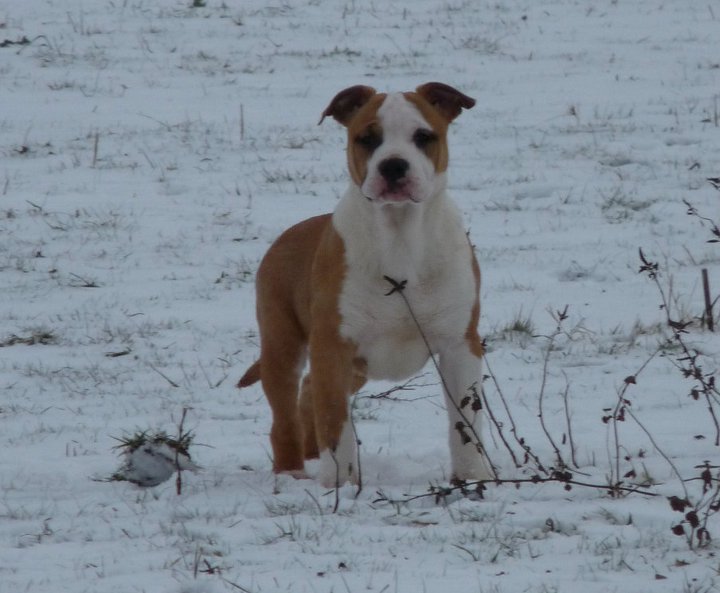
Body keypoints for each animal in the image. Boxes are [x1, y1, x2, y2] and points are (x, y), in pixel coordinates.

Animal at [239, 81, 492, 486]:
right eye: (367, 138)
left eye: (424, 136)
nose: (393, 165)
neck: (400, 234)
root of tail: (286, 236)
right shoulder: (333, 346)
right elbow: (336, 423)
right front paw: (341, 485)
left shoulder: (459, 344)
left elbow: (465, 421)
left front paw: (473, 478)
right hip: (282, 344)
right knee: (286, 415)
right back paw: (293, 472)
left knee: (308, 392)